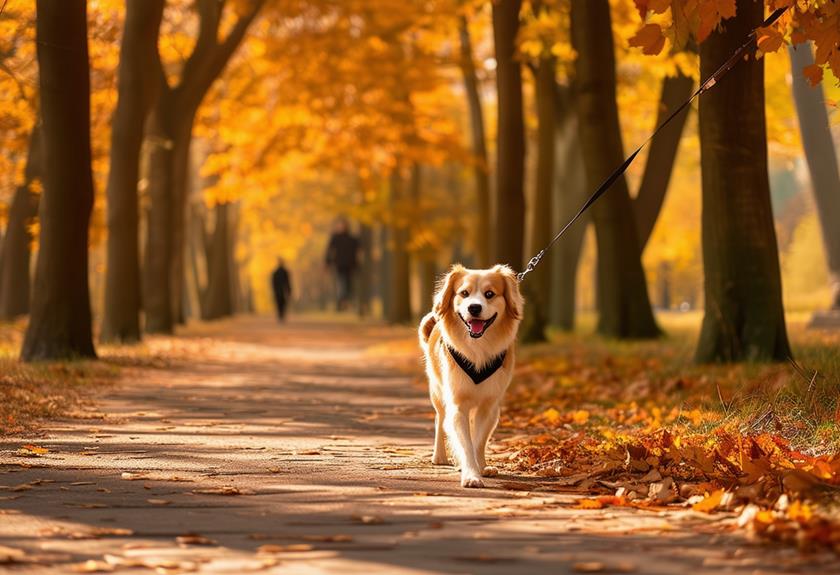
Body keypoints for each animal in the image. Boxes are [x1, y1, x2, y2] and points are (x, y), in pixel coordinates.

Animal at [416, 264, 520, 486]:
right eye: (464, 293)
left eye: (489, 294)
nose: (474, 308)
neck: (477, 347)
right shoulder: (457, 404)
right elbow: (464, 442)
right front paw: (471, 474)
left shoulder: (489, 406)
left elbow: (477, 440)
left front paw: (479, 467)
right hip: (438, 393)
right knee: (440, 420)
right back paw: (439, 456)